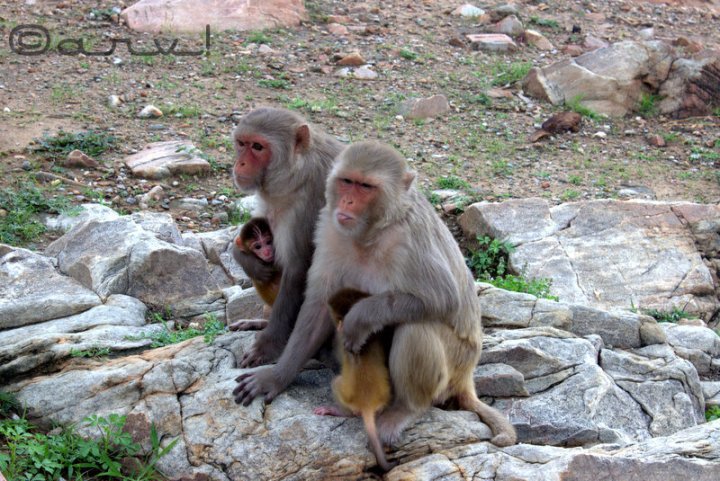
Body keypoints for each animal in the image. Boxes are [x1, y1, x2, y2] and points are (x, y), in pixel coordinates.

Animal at [228, 107, 344, 368]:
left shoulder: (310, 206)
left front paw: (268, 346)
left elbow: (299, 270)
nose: (240, 163)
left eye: (258, 147)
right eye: (241, 143)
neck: (297, 174)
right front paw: (248, 261)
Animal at [234, 140, 517, 449]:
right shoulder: (329, 228)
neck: (371, 231)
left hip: (457, 362)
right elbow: (319, 306)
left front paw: (360, 318)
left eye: (366, 187)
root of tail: (468, 377)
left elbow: (443, 299)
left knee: (417, 326)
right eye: (347, 182)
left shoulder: (410, 240)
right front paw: (276, 377)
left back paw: (406, 409)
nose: (347, 202)